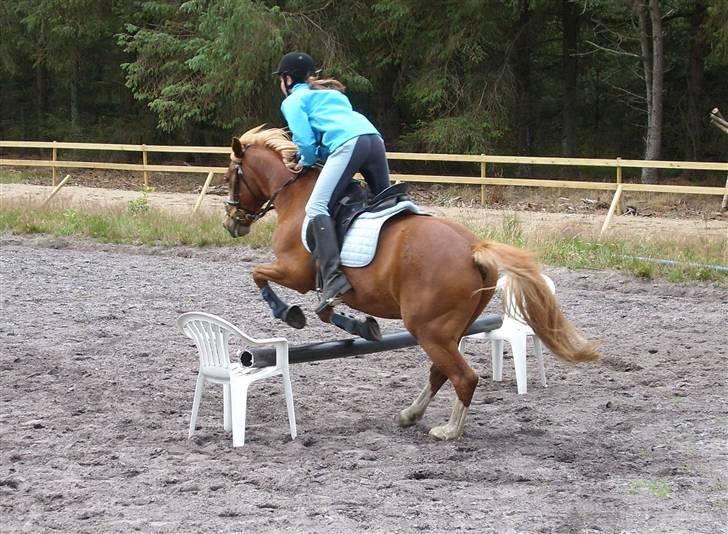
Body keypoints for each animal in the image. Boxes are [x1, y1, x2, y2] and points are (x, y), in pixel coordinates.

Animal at [222, 126, 596, 444]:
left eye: (229, 178)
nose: (231, 224)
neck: (295, 196)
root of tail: (475, 249)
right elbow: (327, 310)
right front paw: (362, 327)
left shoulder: (295, 272)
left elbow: (259, 274)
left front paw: (288, 313)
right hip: (450, 329)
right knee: (440, 371)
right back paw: (411, 414)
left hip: (427, 328)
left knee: (463, 376)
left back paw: (448, 430)